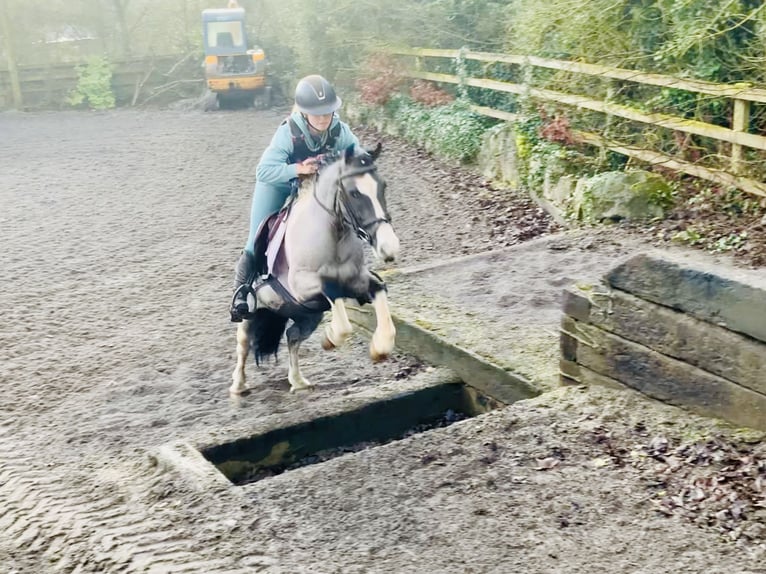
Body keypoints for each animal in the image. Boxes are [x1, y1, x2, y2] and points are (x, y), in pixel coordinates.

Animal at [231, 144, 402, 396]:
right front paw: (330, 338)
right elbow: (336, 306)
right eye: (354, 193)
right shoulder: (302, 287)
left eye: (383, 186)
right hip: (252, 311)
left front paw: (379, 348)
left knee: (293, 336)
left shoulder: (358, 282)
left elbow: (378, 291)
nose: (388, 247)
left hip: (309, 316)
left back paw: (298, 381)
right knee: (244, 344)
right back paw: (238, 385)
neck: (333, 236)